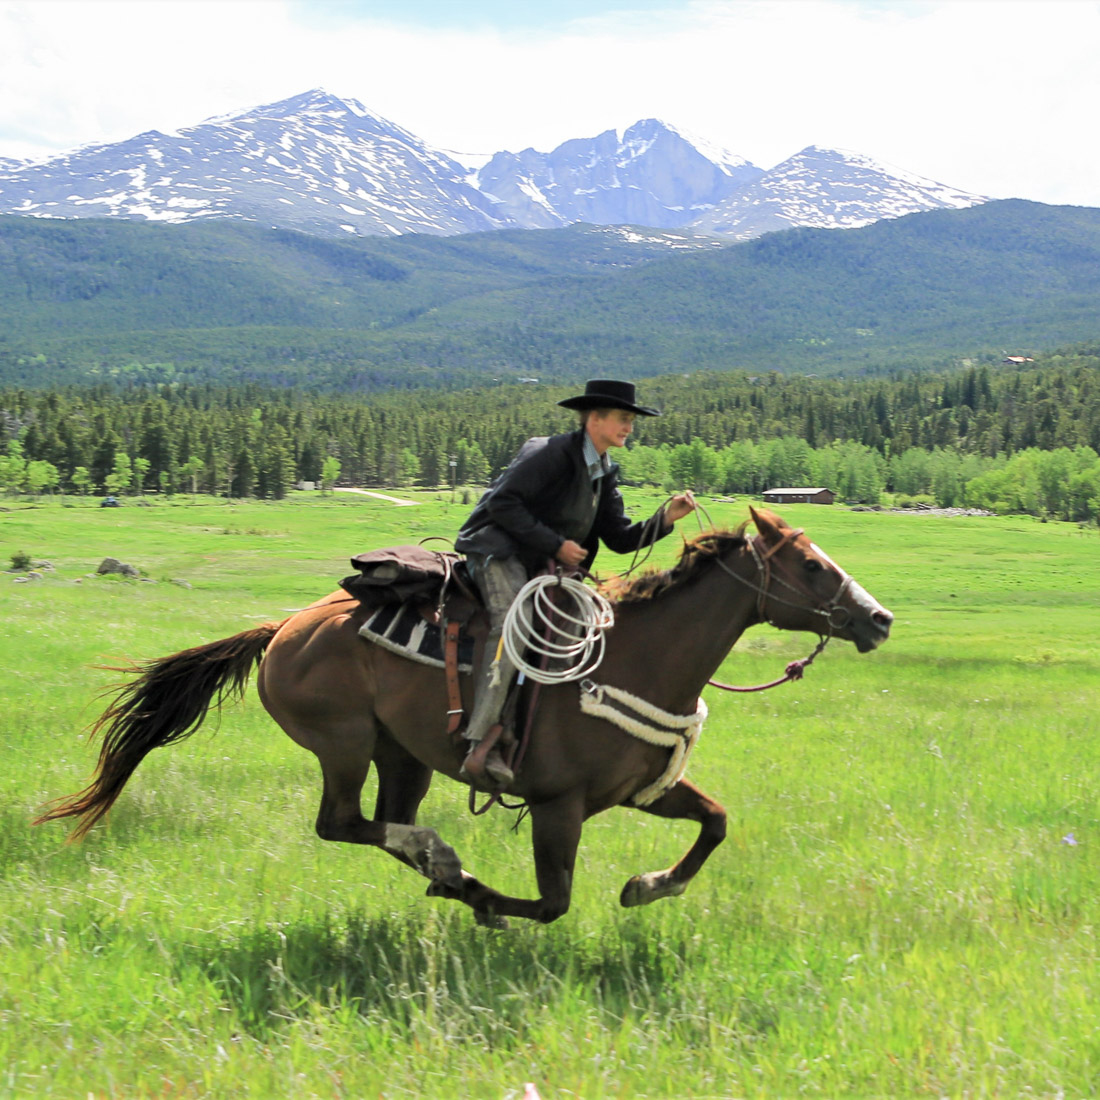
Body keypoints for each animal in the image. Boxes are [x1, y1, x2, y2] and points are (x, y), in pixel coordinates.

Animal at [36, 507, 892, 926]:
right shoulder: (557, 806)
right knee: (342, 823)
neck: (638, 658)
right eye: (810, 564)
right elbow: (551, 902)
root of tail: (282, 628)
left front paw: (648, 887)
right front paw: (485, 904)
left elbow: (715, 822)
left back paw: (442, 865)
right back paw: (450, 867)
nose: (878, 619)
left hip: (403, 754)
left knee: (380, 821)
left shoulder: (646, 791)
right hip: (343, 742)